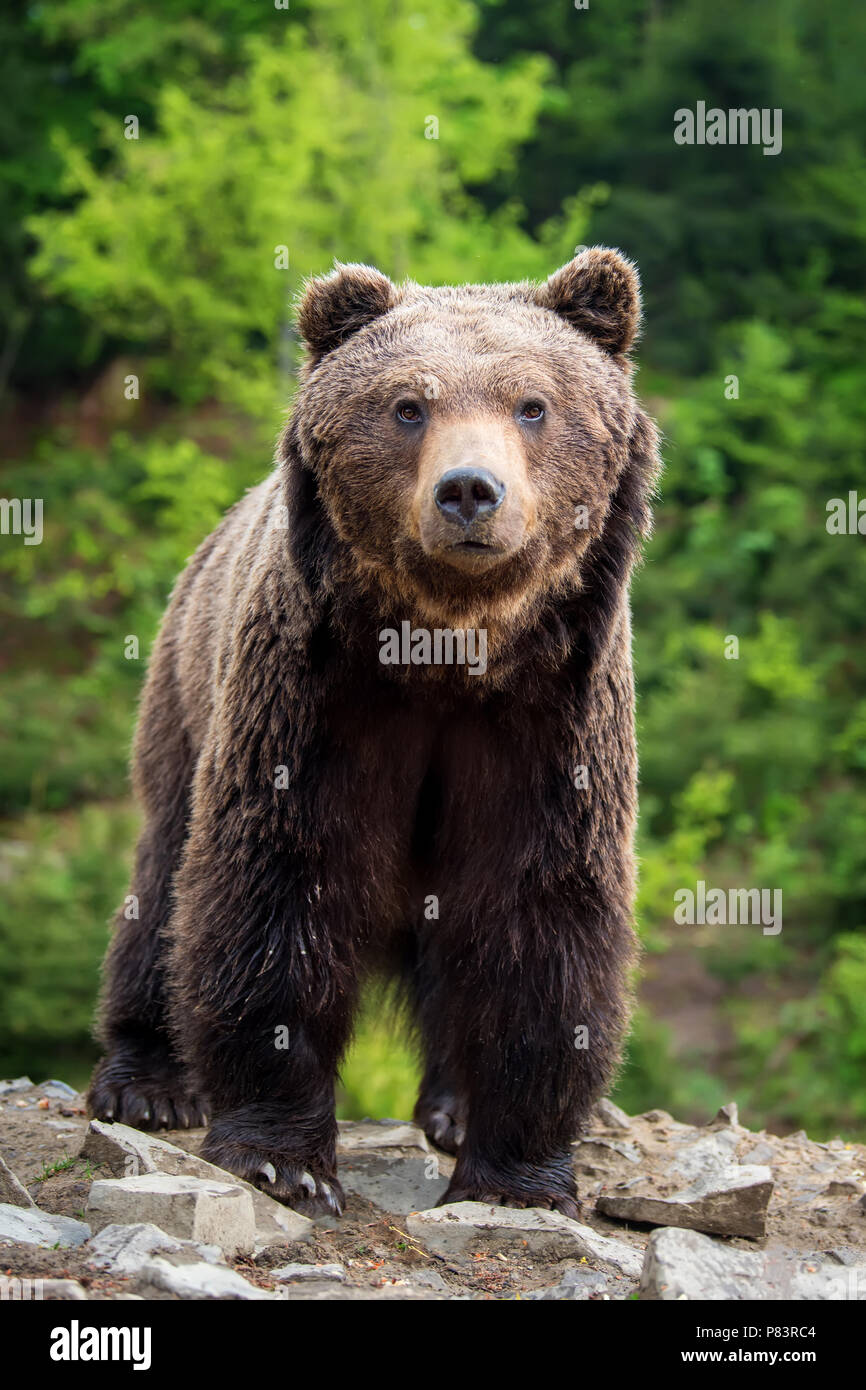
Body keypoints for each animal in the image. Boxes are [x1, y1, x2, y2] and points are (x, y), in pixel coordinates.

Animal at [88, 247, 661, 1217]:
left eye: (532, 404)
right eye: (407, 406)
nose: (469, 492)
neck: (446, 652)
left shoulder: (553, 717)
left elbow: (540, 911)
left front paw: (516, 1176)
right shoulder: (315, 697)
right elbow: (278, 879)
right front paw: (282, 1158)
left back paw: (455, 1108)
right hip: (185, 696)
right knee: (164, 879)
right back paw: (147, 1081)